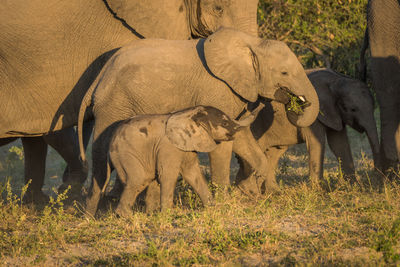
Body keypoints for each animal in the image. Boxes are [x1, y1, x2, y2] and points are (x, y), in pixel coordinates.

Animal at [101, 105, 260, 218]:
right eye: (225, 123)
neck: (189, 113)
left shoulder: (186, 145)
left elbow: (192, 174)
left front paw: (212, 208)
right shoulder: (169, 147)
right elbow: (168, 175)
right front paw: (166, 215)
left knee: (148, 179)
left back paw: (150, 214)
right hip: (125, 154)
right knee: (139, 179)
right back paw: (125, 216)